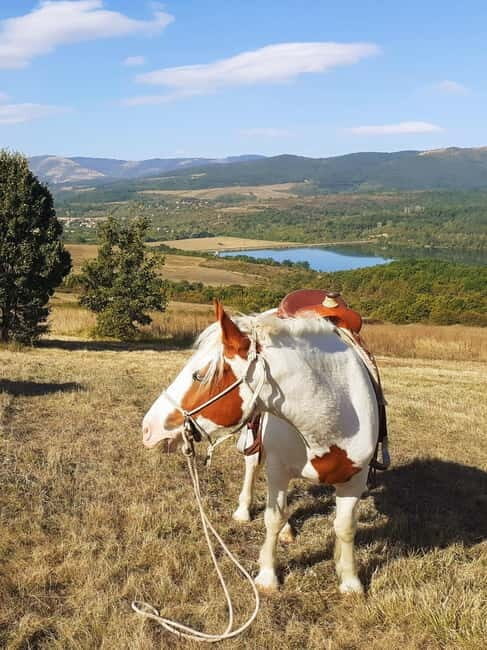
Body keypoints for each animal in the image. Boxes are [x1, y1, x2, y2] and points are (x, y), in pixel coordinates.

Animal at [142, 301, 379, 594]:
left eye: (199, 375)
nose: (147, 428)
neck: (331, 417)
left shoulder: (355, 477)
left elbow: (345, 527)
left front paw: (350, 581)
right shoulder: (277, 469)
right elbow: (272, 518)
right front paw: (267, 576)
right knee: (252, 468)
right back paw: (246, 511)